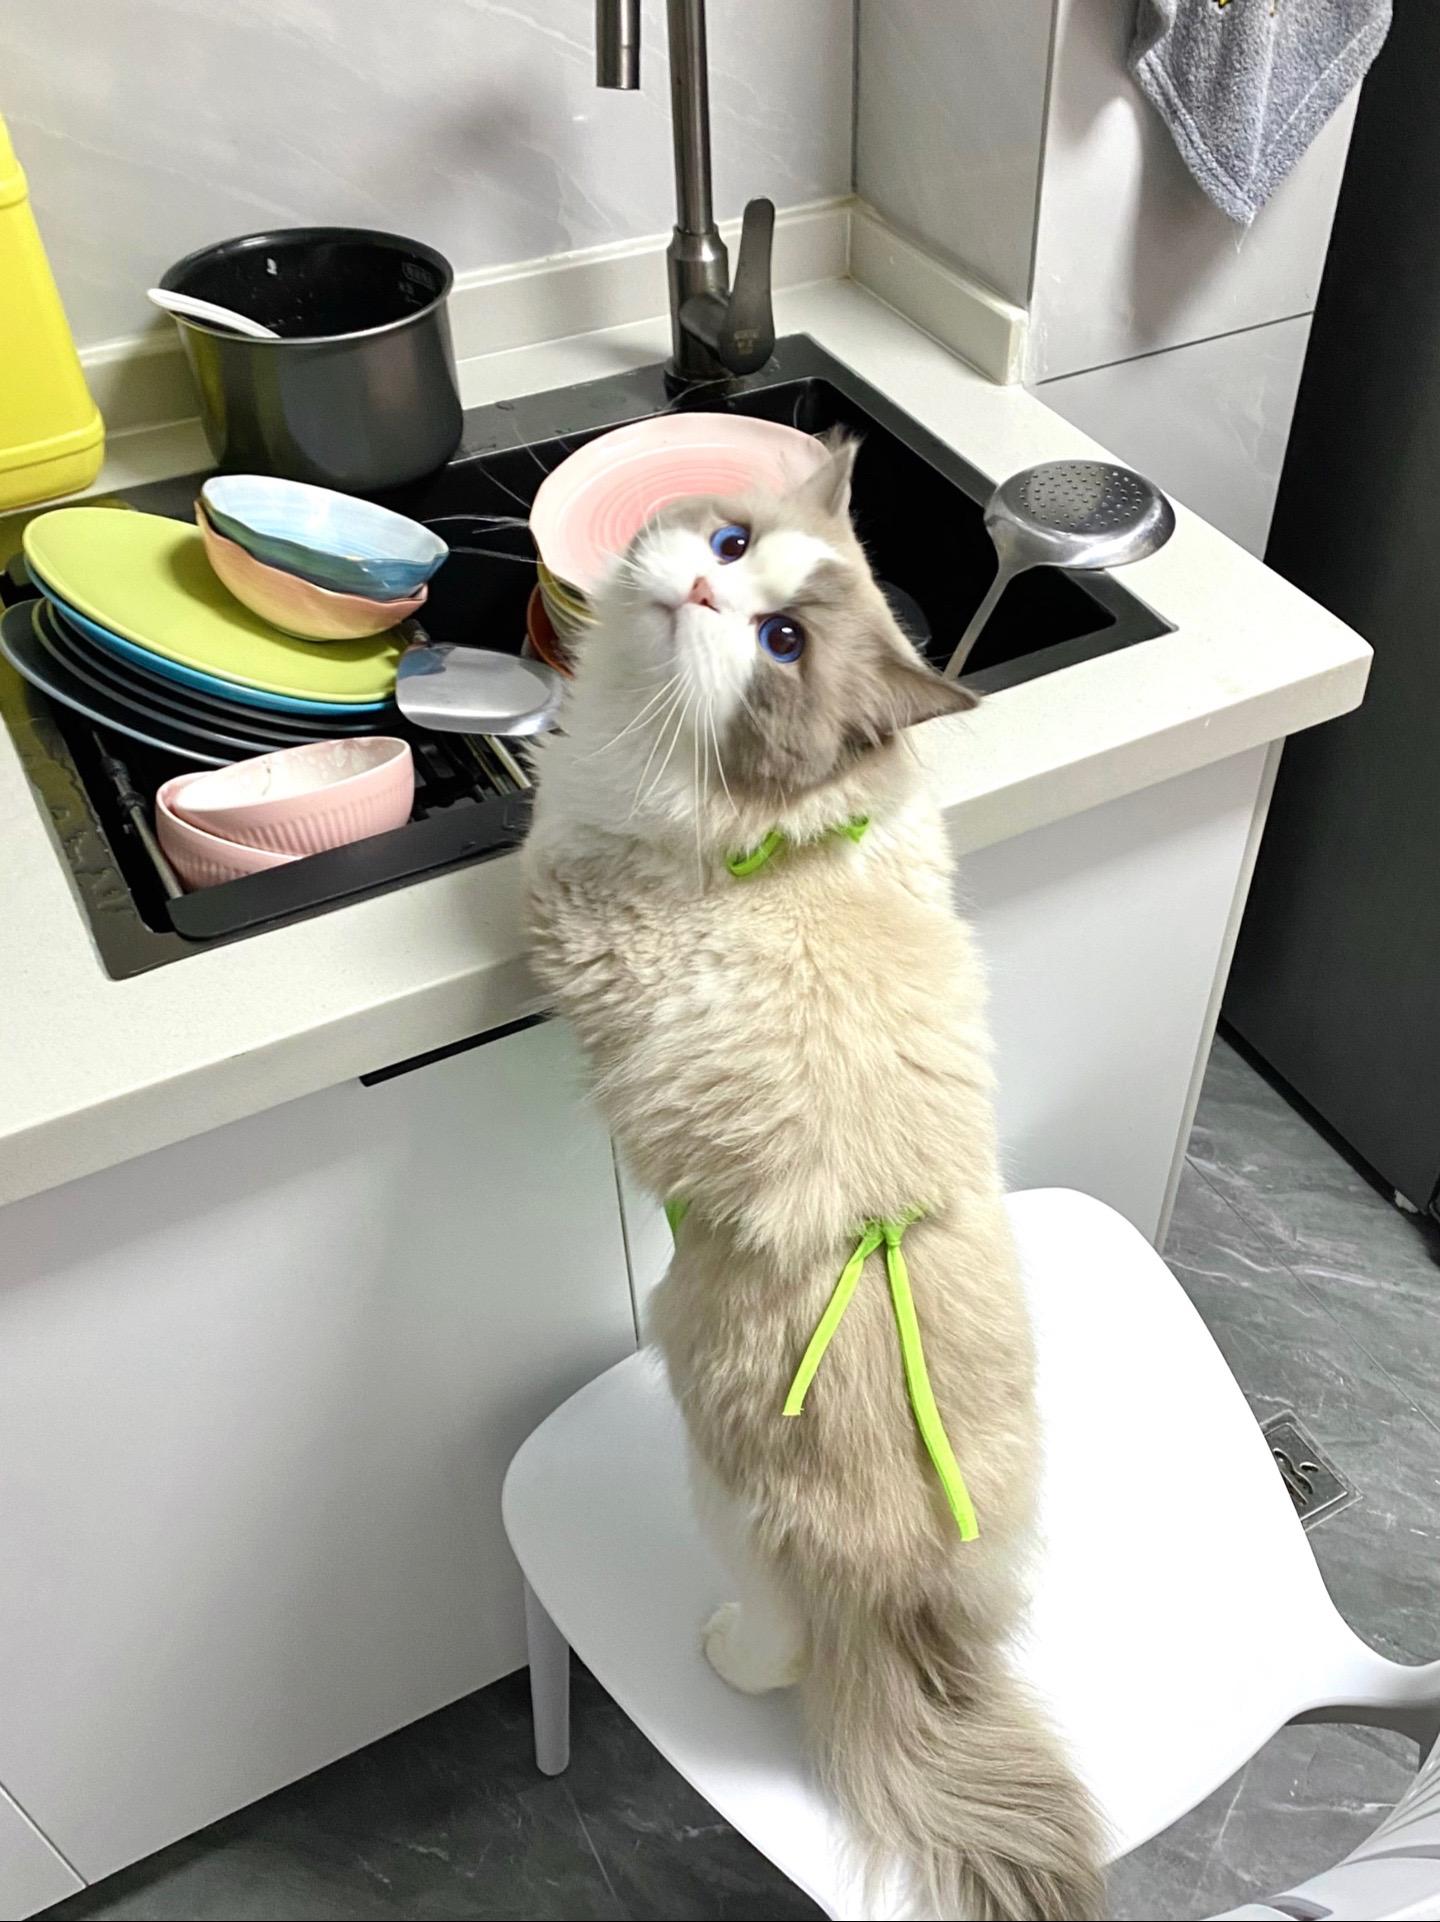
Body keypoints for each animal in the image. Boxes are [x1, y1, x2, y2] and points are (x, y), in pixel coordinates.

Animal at [524, 432, 1106, 1922]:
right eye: (731, 548)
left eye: (781, 643)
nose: (707, 600)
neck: (783, 830)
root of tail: (903, 1604)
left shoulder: (569, 885)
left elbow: (535, 836)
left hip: (720, 1492)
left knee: (779, 1645)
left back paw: (728, 1649)